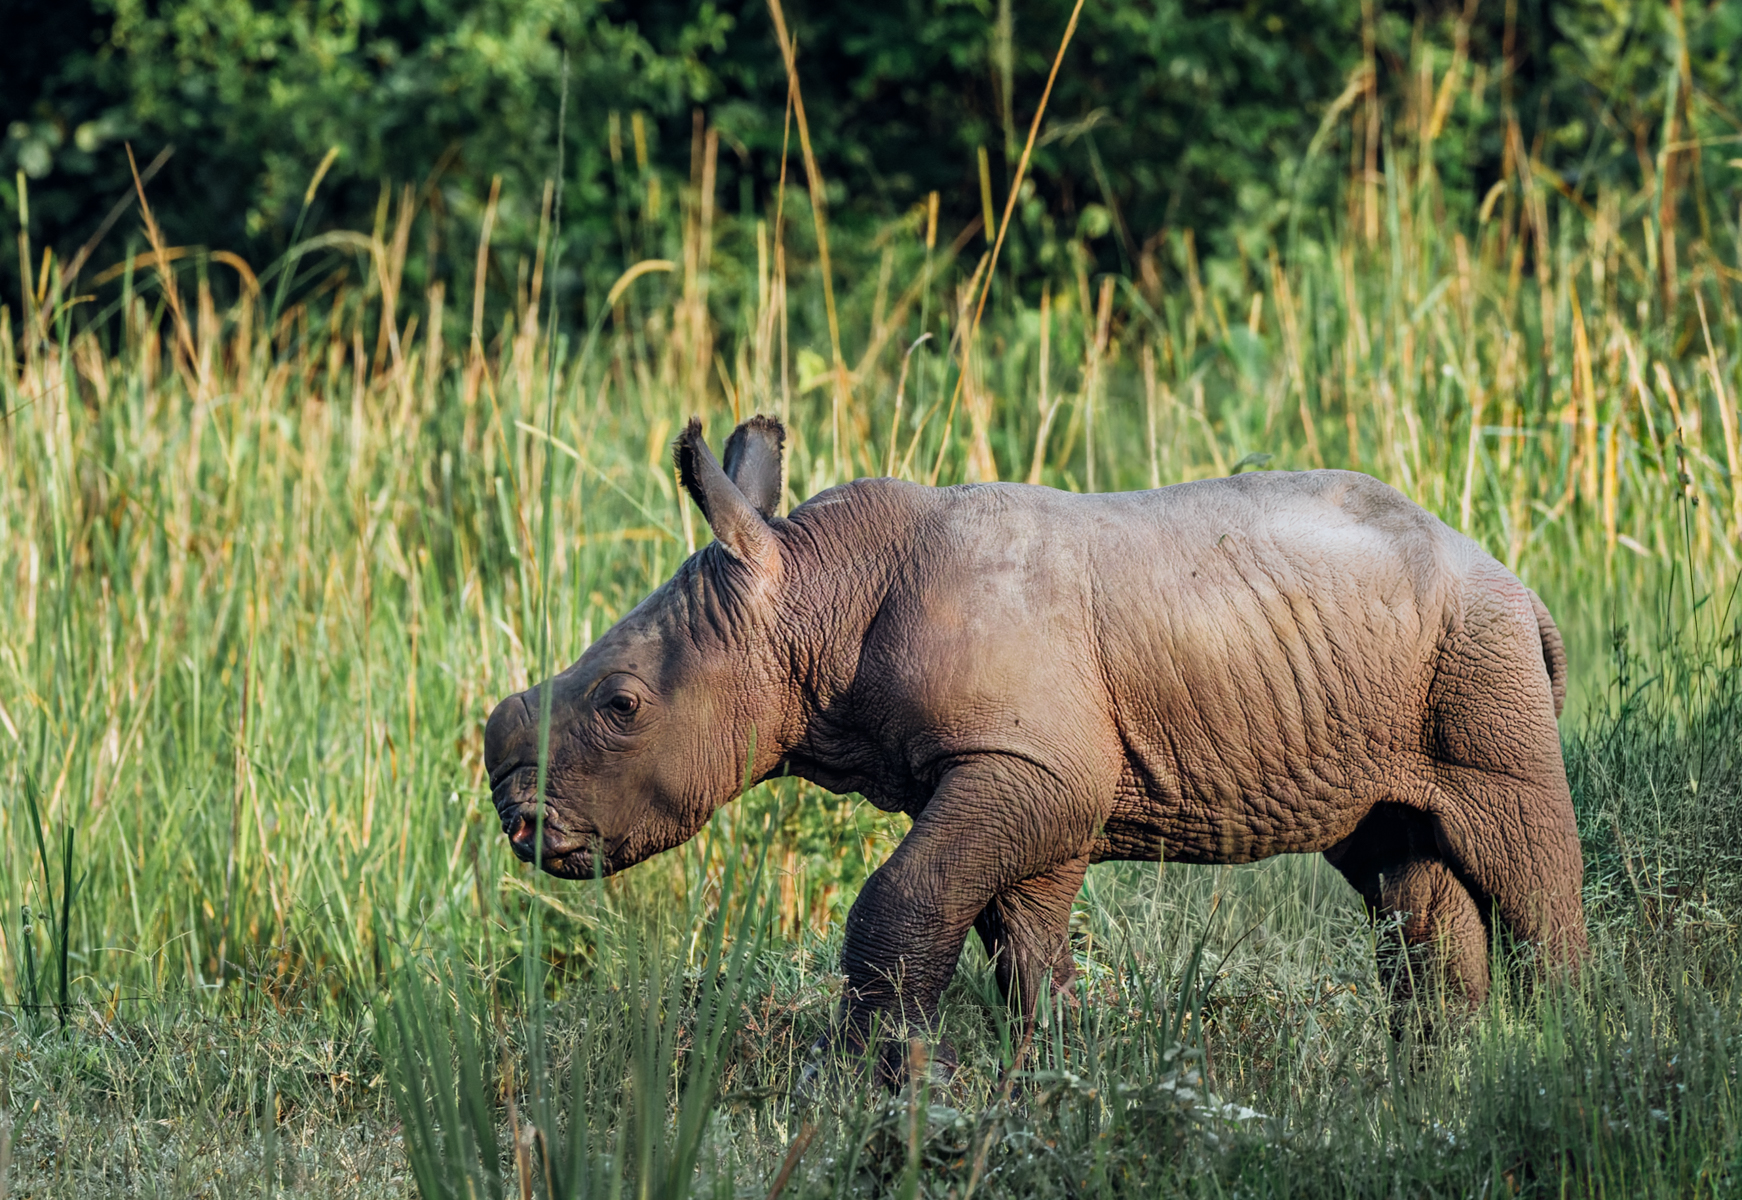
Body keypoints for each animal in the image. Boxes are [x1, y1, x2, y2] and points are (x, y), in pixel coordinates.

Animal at [484, 415, 1587, 1070]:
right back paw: (1438, 1075)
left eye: (621, 707)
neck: (813, 588)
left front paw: (883, 1093)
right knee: (1394, 857)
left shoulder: (1030, 767)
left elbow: (899, 907)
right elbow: (1023, 952)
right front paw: (1049, 1087)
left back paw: (1562, 1051)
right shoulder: (1033, 782)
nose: (520, 824)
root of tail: (1509, 577)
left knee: (1518, 847)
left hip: (1478, 647)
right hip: (1388, 669)